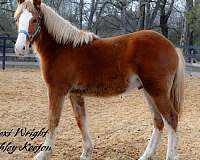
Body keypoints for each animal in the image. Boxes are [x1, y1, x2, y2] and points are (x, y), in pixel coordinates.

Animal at [14, 0, 185, 159]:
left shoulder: (57, 90)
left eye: (34, 19)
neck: (60, 49)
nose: (19, 48)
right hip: (148, 91)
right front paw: (86, 153)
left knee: (171, 118)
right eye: (17, 19)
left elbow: (53, 120)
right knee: (158, 121)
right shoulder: (75, 93)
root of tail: (172, 46)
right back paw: (145, 155)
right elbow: (81, 121)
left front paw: (43, 154)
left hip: (157, 92)